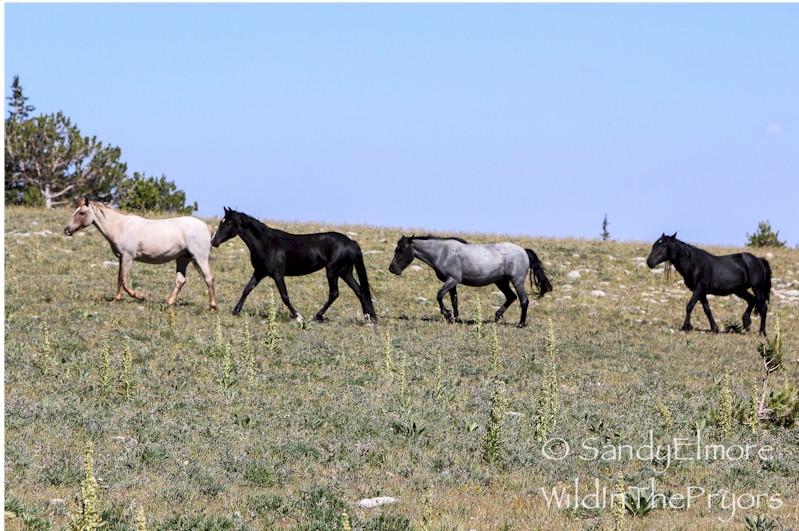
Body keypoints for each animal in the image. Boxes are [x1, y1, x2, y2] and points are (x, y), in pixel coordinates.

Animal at [64, 197, 217, 310]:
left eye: (81, 213)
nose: (67, 229)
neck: (121, 227)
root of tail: (206, 226)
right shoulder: (122, 258)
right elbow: (123, 280)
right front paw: (140, 296)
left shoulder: (128, 257)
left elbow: (121, 279)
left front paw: (116, 299)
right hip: (182, 259)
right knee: (181, 280)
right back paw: (168, 303)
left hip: (200, 258)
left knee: (208, 278)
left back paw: (212, 307)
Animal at [211, 207, 377, 323]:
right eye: (220, 222)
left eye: (227, 223)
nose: (214, 241)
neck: (266, 244)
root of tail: (351, 242)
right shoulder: (259, 272)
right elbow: (246, 289)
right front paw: (235, 311)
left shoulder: (278, 275)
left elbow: (285, 296)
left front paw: (298, 316)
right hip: (345, 272)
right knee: (360, 291)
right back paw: (368, 317)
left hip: (332, 271)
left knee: (334, 293)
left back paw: (317, 316)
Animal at [388, 235, 552, 328]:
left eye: (402, 249)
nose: (392, 268)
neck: (443, 252)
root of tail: (524, 251)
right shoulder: (452, 282)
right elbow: (454, 300)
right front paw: (456, 318)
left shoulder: (452, 280)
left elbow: (439, 295)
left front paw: (447, 315)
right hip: (501, 282)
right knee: (511, 297)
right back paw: (497, 316)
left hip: (517, 281)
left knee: (523, 300)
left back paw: (520, 324)